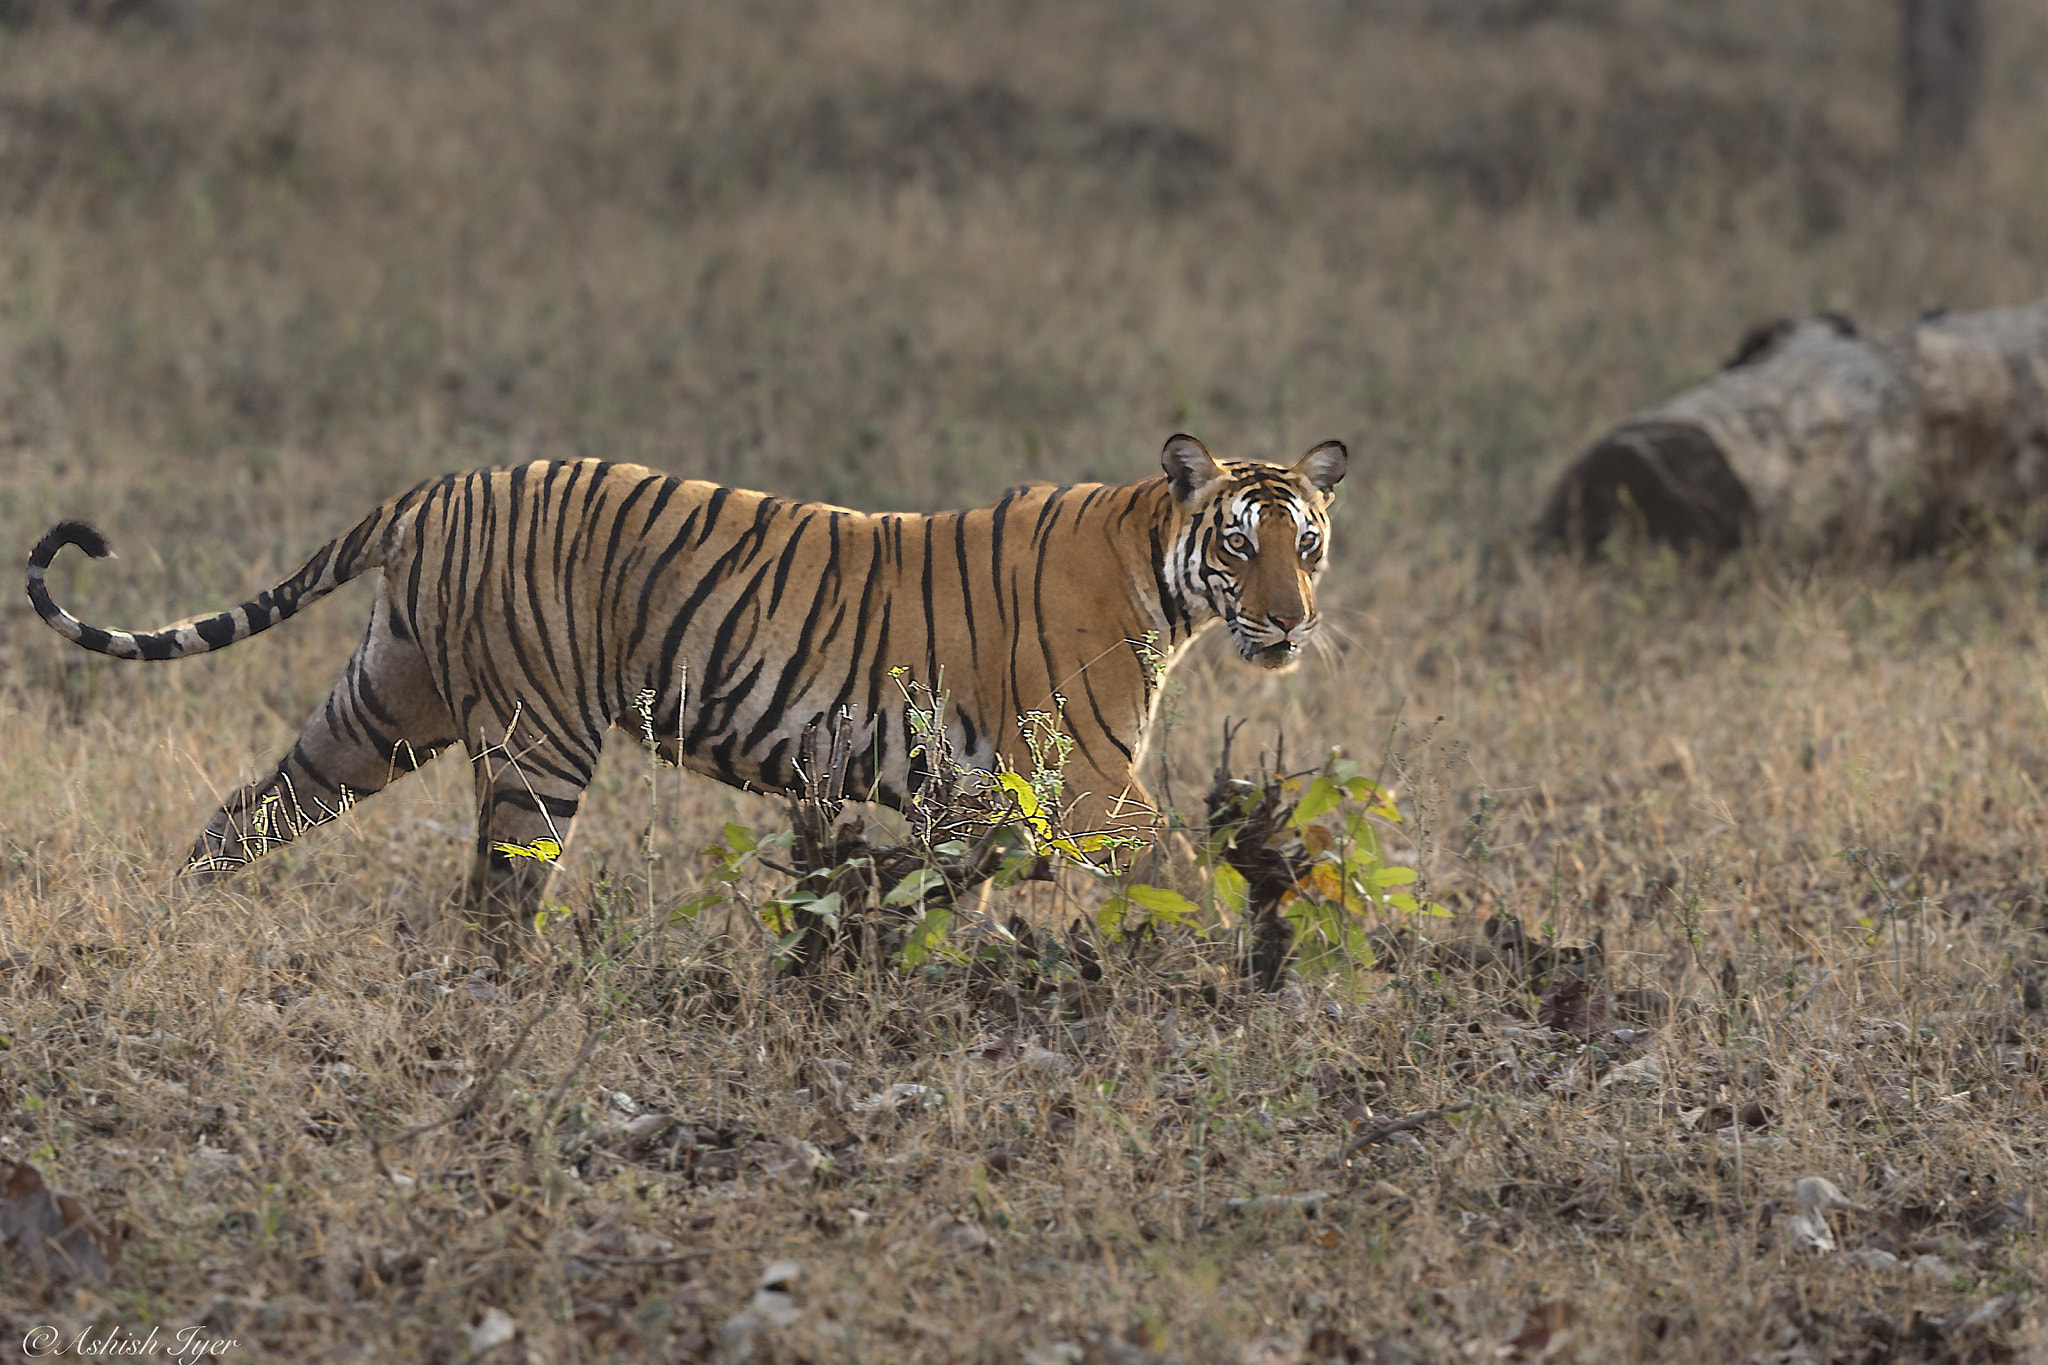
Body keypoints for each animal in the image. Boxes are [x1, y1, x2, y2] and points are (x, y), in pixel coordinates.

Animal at [32, 431, 1351, 957]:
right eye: (1239, 544)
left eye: (1307, 544)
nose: (1290, 621)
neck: (1161, 571)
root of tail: (436, 490)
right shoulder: (1085, 781)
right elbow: (1179, 866)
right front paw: (1238, 963)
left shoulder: (975, 798)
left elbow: (943, 898)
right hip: (537, 747)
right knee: (495, 901)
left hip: (381, 710)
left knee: (246, 813)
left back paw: (172, 921)